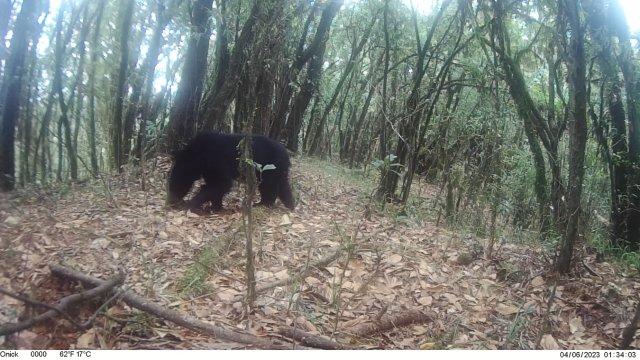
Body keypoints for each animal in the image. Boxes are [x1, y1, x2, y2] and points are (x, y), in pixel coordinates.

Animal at [165, 132, 296, 211]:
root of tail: (286, 154)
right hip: (277, 170)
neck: (199, 155)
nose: (170, 201)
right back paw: (290, 205)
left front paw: (192, 203)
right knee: (283, 186)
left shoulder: (216, 161)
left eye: (176, 183)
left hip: (270, 167)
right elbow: (215, 185)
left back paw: (264, 203)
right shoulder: (209, 170)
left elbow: (222, 184)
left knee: (269, 186)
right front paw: (216, 206)